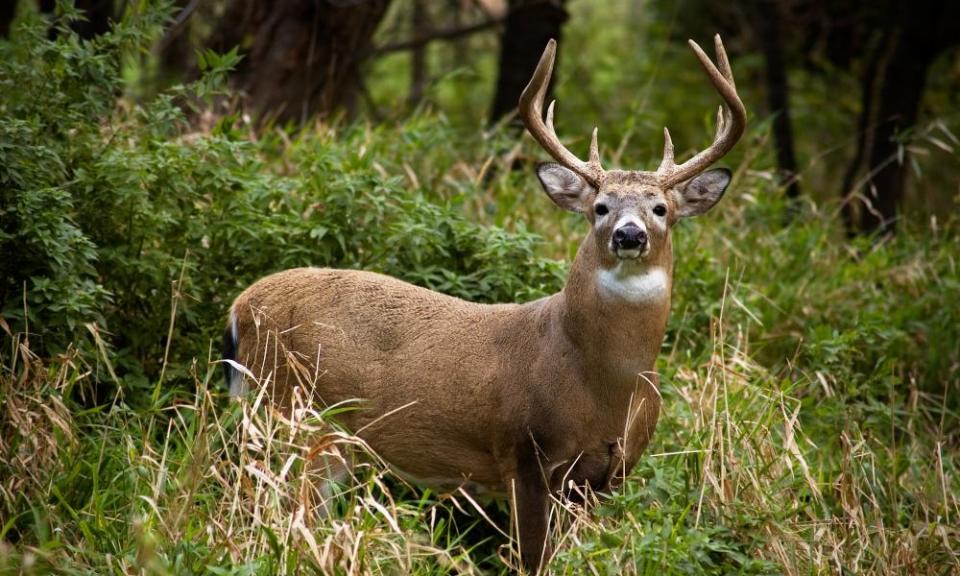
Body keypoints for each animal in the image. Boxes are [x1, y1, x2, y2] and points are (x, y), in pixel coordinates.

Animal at [223, 35, 744, 572]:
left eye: (660, 208)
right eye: (600, 207)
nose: (629, 234)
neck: (603, 383)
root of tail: (240, 308)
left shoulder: (610, 473)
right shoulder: (524, 451)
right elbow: (533, 557)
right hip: (292, 412)